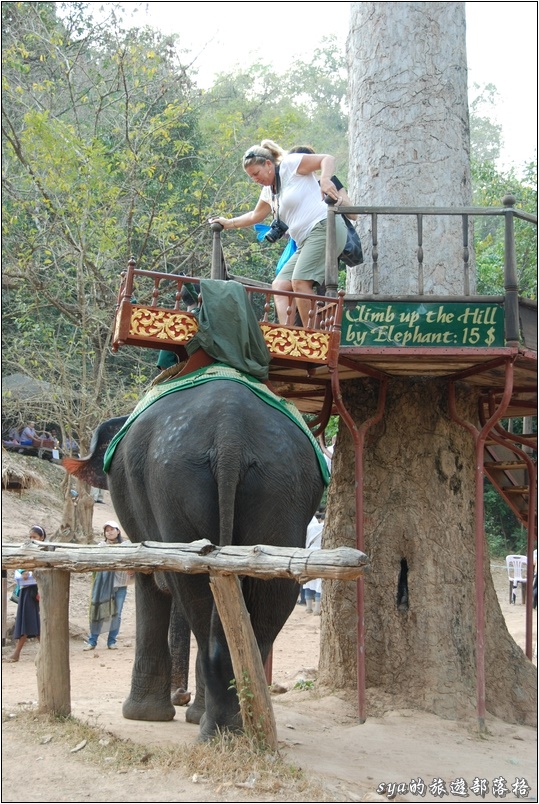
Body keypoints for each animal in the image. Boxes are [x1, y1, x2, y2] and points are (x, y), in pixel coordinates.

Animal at [63, 378, 324, 740]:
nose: (180, 694)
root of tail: (230, 430)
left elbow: (150, 581)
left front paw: (142, 717)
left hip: (175, 481)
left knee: (194, 591)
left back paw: (214, 728)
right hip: (282, 483)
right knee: (272, 590)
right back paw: (241, 725)